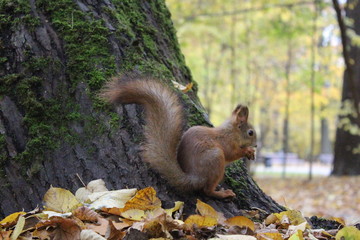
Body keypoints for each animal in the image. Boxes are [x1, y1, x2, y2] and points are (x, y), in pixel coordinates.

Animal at [101, 75, 256, 199]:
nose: (256, 144)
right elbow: (231, 154)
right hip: (215, 159)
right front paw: (247, 151)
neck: (231, 132)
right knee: (207, 190)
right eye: (251, 133)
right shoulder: (227, 143)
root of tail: (194, 177)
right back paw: (222, 193)